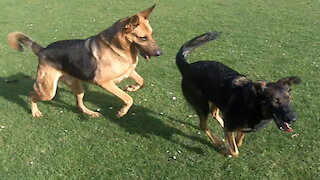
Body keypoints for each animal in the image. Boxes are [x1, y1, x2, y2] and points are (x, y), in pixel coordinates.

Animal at [6, 4, 162, 118]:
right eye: (143, 38)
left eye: (151, 35)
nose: (160, 53)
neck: (115, 48)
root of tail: (43, 50)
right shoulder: (104, 82)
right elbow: (128, 99)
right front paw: (122, 112)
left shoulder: (128, 72)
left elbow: (141, 81)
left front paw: (132, 87)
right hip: (48, 91)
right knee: (32, 94)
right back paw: (35, 111)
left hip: (76, 86)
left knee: (79, 104)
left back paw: (89, 113)